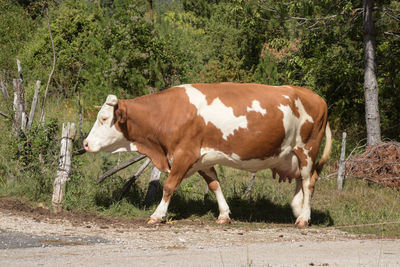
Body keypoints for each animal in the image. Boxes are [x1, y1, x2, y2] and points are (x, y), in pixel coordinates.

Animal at [83, 83, 332, 228]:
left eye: (104, 119)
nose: (85, 143)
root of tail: (317, 97)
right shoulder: (202, 159)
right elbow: (214, 185)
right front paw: (224, 214)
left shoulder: (184, 154)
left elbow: (169, 186)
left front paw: (157, 215)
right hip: (293, 156)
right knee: (301, 183)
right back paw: (298, 210)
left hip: (307, 150)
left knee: (308, 183)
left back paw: (303, 218)